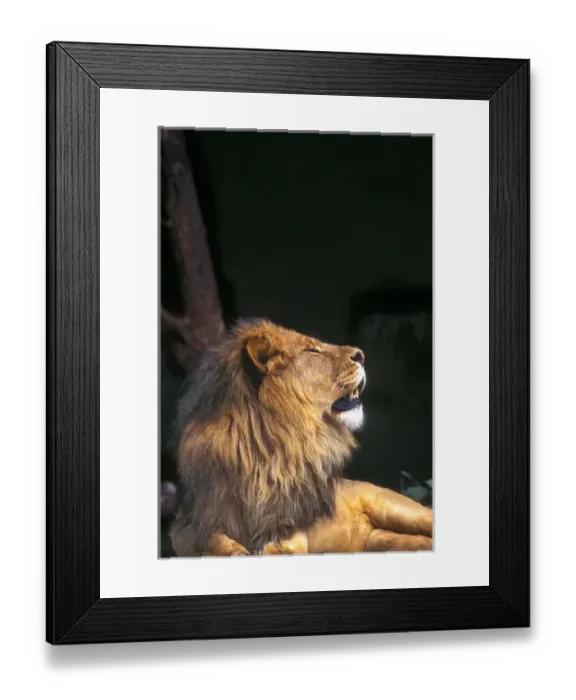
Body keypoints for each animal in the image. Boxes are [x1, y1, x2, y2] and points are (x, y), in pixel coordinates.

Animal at [169, 318, 432, 557]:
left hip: (396, 509)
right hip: (379, 540)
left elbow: (283, 542)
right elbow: (210, 541)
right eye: (312, 350)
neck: (263, 451)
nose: (361, 355)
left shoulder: (292, 523)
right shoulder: (190, 524)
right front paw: (236, 550)